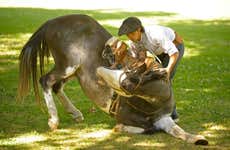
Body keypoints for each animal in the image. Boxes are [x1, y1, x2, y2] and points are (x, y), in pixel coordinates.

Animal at [17, 14, 208, 145]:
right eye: (129, 72)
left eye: (132, 77)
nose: (103, 71)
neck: (152, 104)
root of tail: (51, 22)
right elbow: (149, 129)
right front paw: (120, 128)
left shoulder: (163, 119)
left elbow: (167, 130)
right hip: (67, 66)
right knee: (46, 81)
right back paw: (54, 121)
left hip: (73, 71)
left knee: (56, 86)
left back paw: (75, 114)